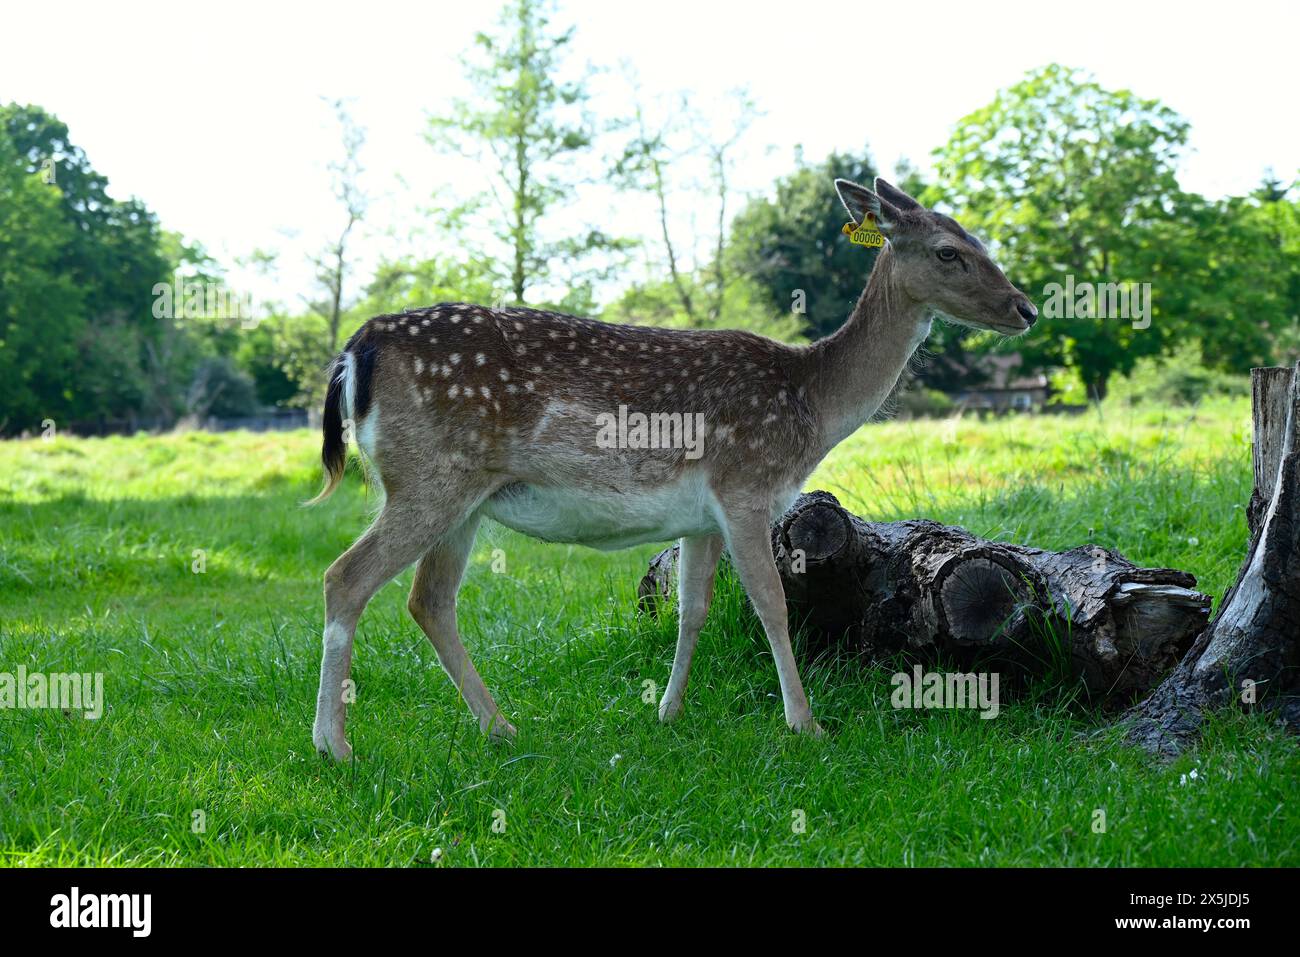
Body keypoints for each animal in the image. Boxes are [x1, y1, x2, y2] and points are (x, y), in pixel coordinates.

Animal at [307, 178, 1037, 759]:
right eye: (949, 251)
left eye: (982, 240)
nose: (1026, 308)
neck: (811, 404)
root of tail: (356, 348)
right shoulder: (745, 483)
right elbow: (771, 602)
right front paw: (805, 723)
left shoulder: (701, 514)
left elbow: (693, 607)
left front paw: (668, 711)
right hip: (427, 478)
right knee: (346, 577)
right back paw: (335, 744)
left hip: (463, 497)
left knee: (428, 599)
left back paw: (500, 726)